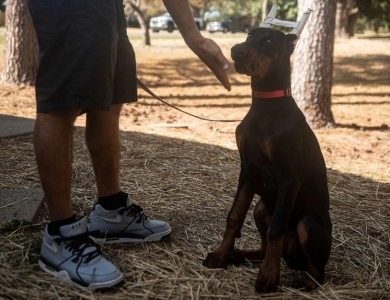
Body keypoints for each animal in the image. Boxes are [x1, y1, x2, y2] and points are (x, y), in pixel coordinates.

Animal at [203, 27, 334, 292]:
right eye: (249, 35)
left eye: (269, 40)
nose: (236, 50)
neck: (265, 105)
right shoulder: (247, 170)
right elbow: (234, 217)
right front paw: (221, 255)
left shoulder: (290, 178)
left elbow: (277, 229)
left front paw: (268, 277)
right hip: (261, 208)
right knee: (264, 248)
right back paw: (238, 255)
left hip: (307, 223)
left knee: (317, 269)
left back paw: (305, 280)